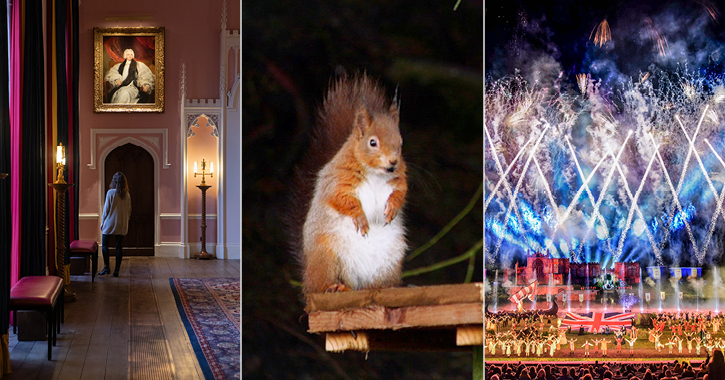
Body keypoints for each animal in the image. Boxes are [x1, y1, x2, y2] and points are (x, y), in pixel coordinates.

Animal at [296, 74, 404, 294]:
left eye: (400, 141)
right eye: (372, 142)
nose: (393, 162)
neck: (377, 173)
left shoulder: (399, 180)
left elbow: (401, 192)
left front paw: (392, 209)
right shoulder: (338, 180)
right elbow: (341, 199)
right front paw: (360, 219)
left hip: (389, 263)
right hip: (328, 255)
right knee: (322, 285)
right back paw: (336, 286)